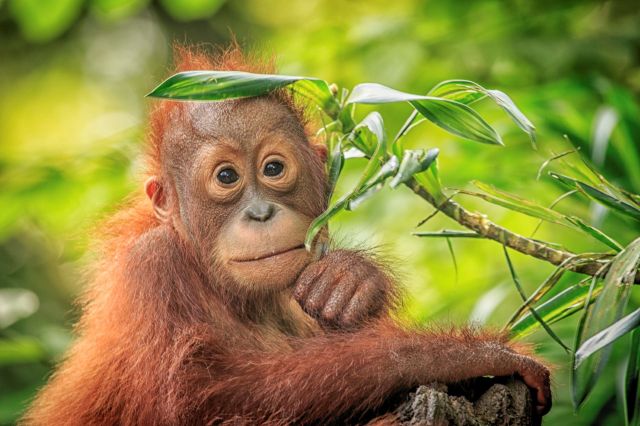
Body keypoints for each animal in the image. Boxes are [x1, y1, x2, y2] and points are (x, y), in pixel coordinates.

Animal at [22, 46, 551, 425]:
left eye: (273, 168)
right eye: (227, 178)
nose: (260, 212)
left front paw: (349, 283)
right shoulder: (151, 268)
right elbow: (202, 395)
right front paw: (460, 356)